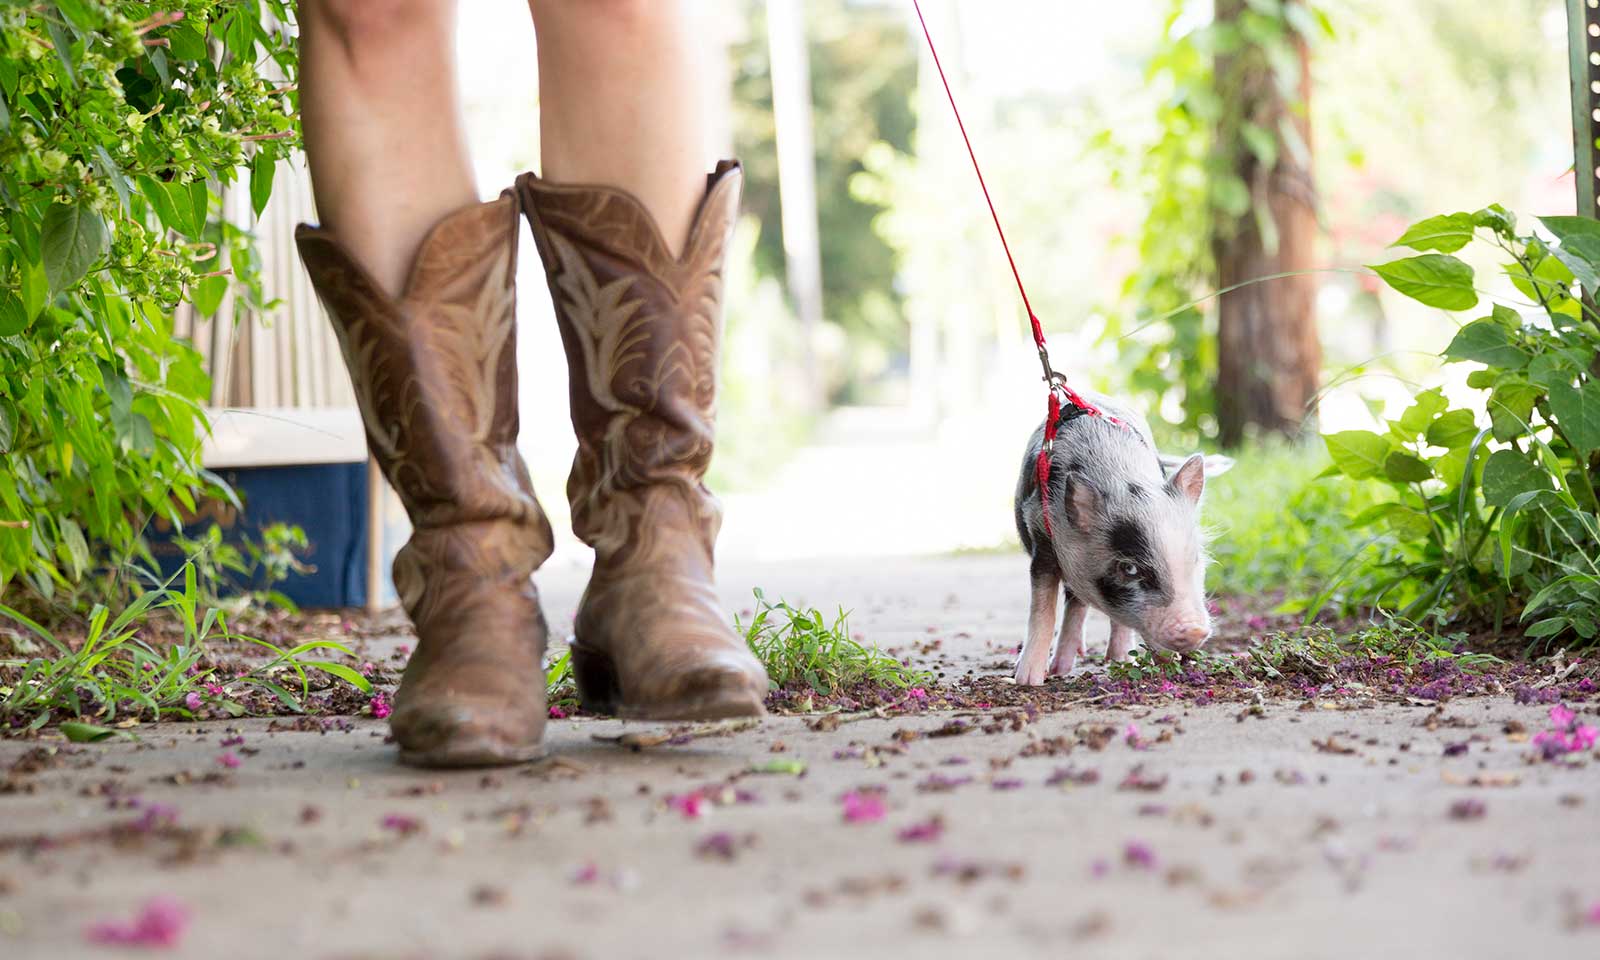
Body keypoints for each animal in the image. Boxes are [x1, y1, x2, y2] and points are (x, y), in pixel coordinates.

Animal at [1011, 393, 1222, 684]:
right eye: (1129, 568)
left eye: (1195, 558)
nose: (1195, 630)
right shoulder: (1041, 536)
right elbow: (1043, 609)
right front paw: (1027, 680)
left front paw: (1138, 662)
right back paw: (1059, 670)